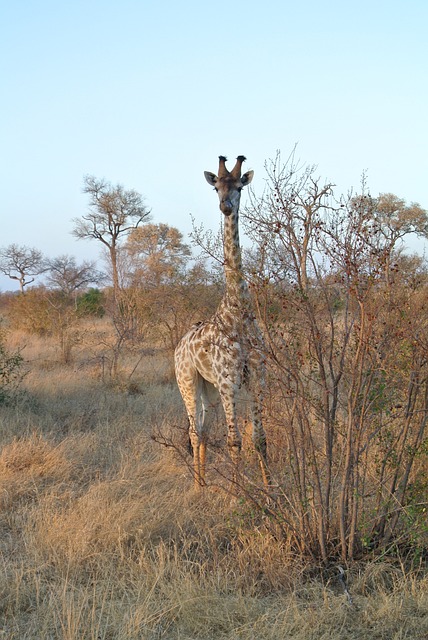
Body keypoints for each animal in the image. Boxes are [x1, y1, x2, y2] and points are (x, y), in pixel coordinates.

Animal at [173, 156, 268, 490]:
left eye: (239, 186)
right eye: (216, 187)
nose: (225, 206)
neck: (237, 310)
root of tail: (179, 345)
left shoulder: (257, 378)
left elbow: (259, 439)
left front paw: (270, 490)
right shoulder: (229, 381)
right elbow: (234, 441)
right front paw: (239, 495)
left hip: (209, 390)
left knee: (202, 430)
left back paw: (202, 484)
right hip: (187, 382)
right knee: (193, 431)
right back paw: (196, 488)